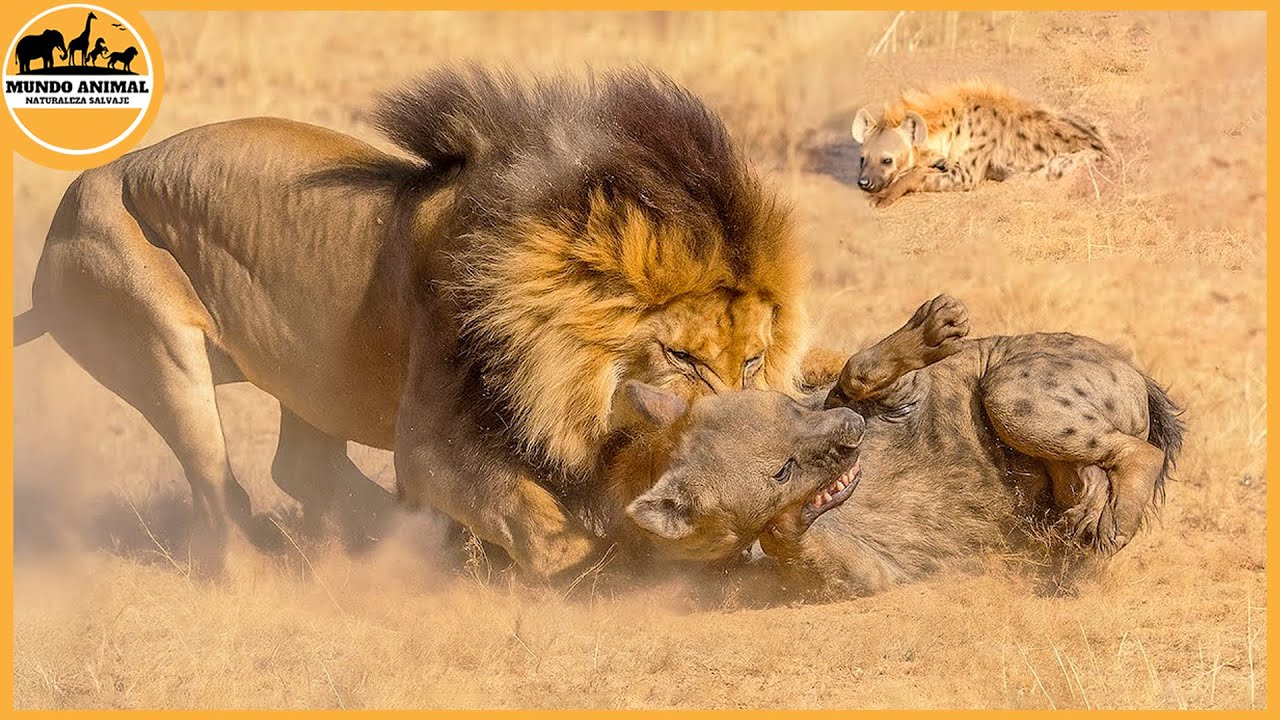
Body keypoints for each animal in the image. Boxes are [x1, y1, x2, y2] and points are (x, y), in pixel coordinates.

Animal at [13, 68, 808, 575]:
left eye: (751, 362)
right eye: (683, 359)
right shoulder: (431, 438)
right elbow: (543, 528)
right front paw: (622, 560)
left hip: (315, 373)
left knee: (300, 466)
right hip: (152, 333)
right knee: (221, 490)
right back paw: (272, 569)